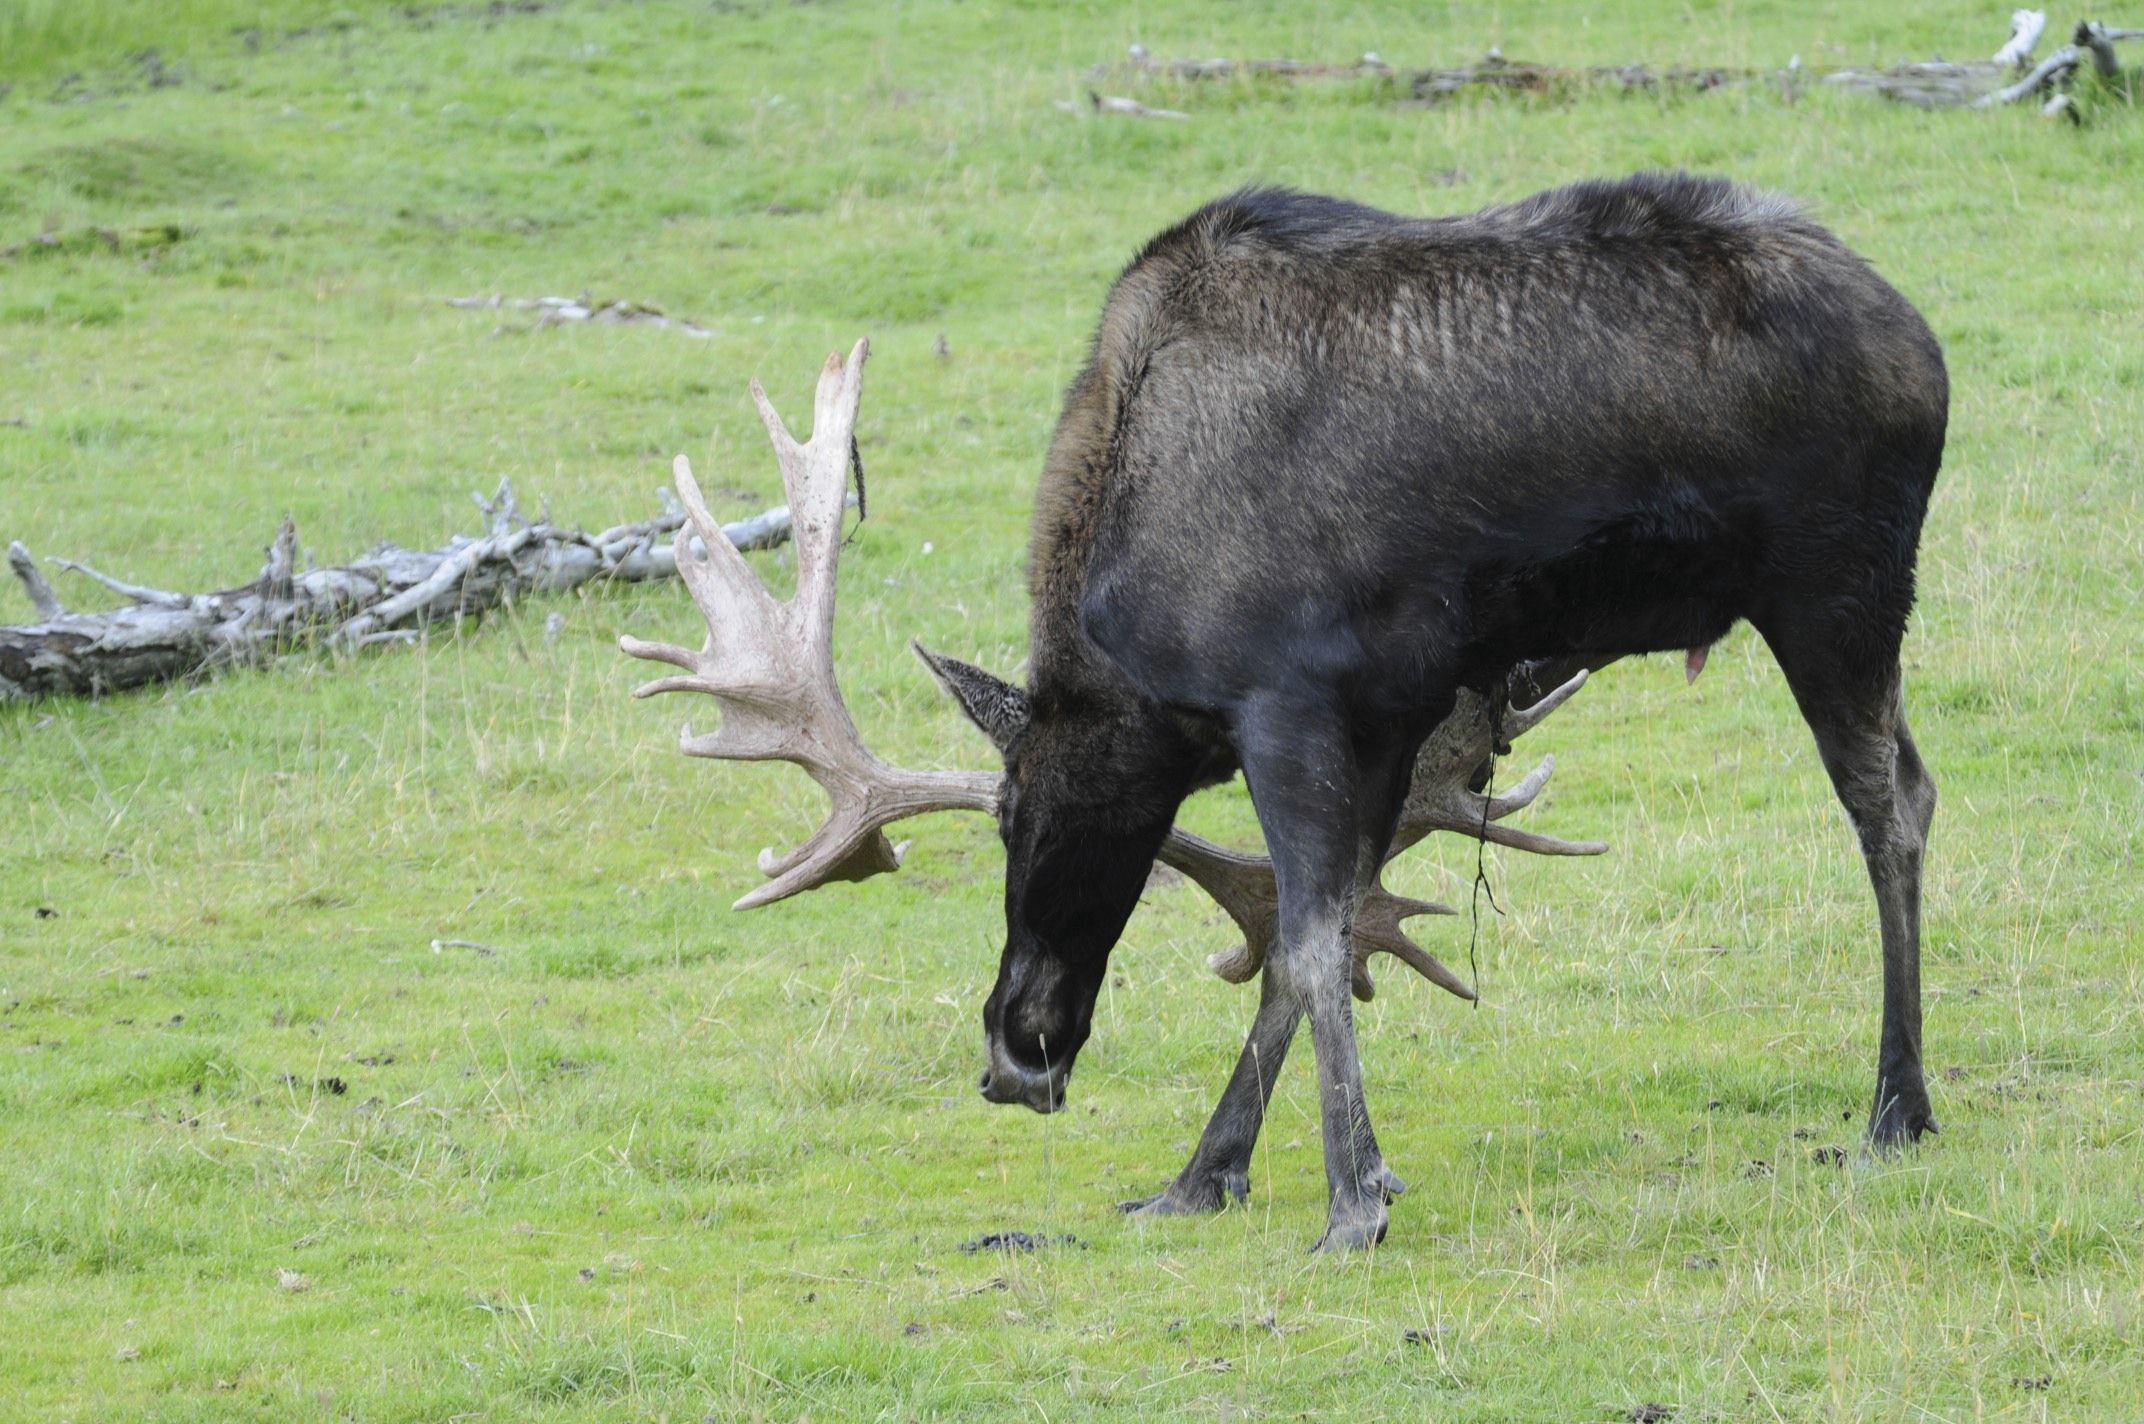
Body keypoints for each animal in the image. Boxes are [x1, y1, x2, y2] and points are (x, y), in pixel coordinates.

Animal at [626, 174, 1955, 1243]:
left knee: (1884, 802)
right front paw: (1199, 1175)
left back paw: (1896, 1103)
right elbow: (1305, 939)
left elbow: (1313, 943)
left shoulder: (1287, 704)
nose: (1014, 1050)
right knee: (1919, 780)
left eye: (1011, 815)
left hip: (1835, 589)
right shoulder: (1386, 716)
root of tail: (1925, 345)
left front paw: (1352, 1195)